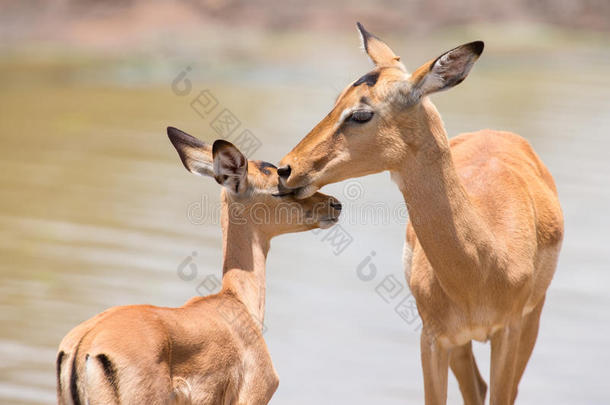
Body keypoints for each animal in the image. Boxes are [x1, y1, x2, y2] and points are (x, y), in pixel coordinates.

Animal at [276, 23, 560, 402]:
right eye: (336, 102)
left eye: (361, 113)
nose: (286, 169)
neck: (483, 265)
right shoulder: (434, 339)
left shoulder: (509, 332)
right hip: (462, 344)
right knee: (476, 387)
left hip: (530, 322)